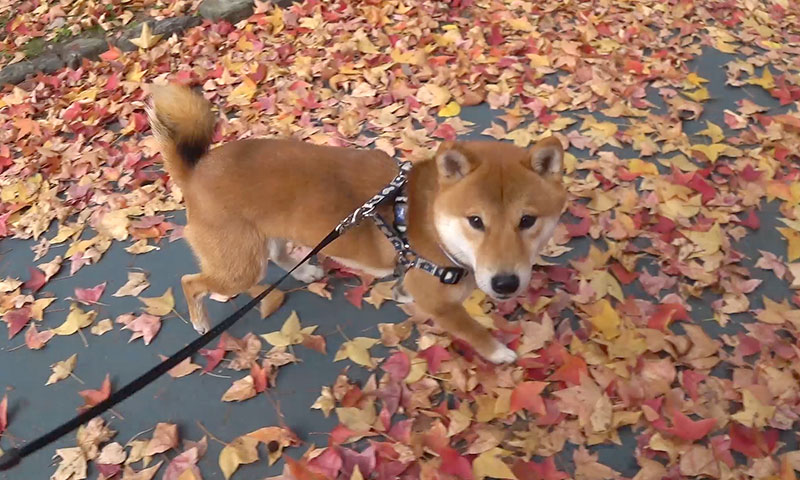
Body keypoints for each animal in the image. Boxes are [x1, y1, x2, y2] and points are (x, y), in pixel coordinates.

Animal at [145, 85, 568, 364]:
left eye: (527, 220)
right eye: (475, 221)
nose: (505, 283)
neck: (431, 226)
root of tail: (195, 172)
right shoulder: (439, 304)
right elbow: (474, 330)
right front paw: (499, 353)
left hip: (266, 240)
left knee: (280, 254)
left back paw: (305, 272)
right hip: (241, 268)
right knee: (191, 283)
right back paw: (200, 321)